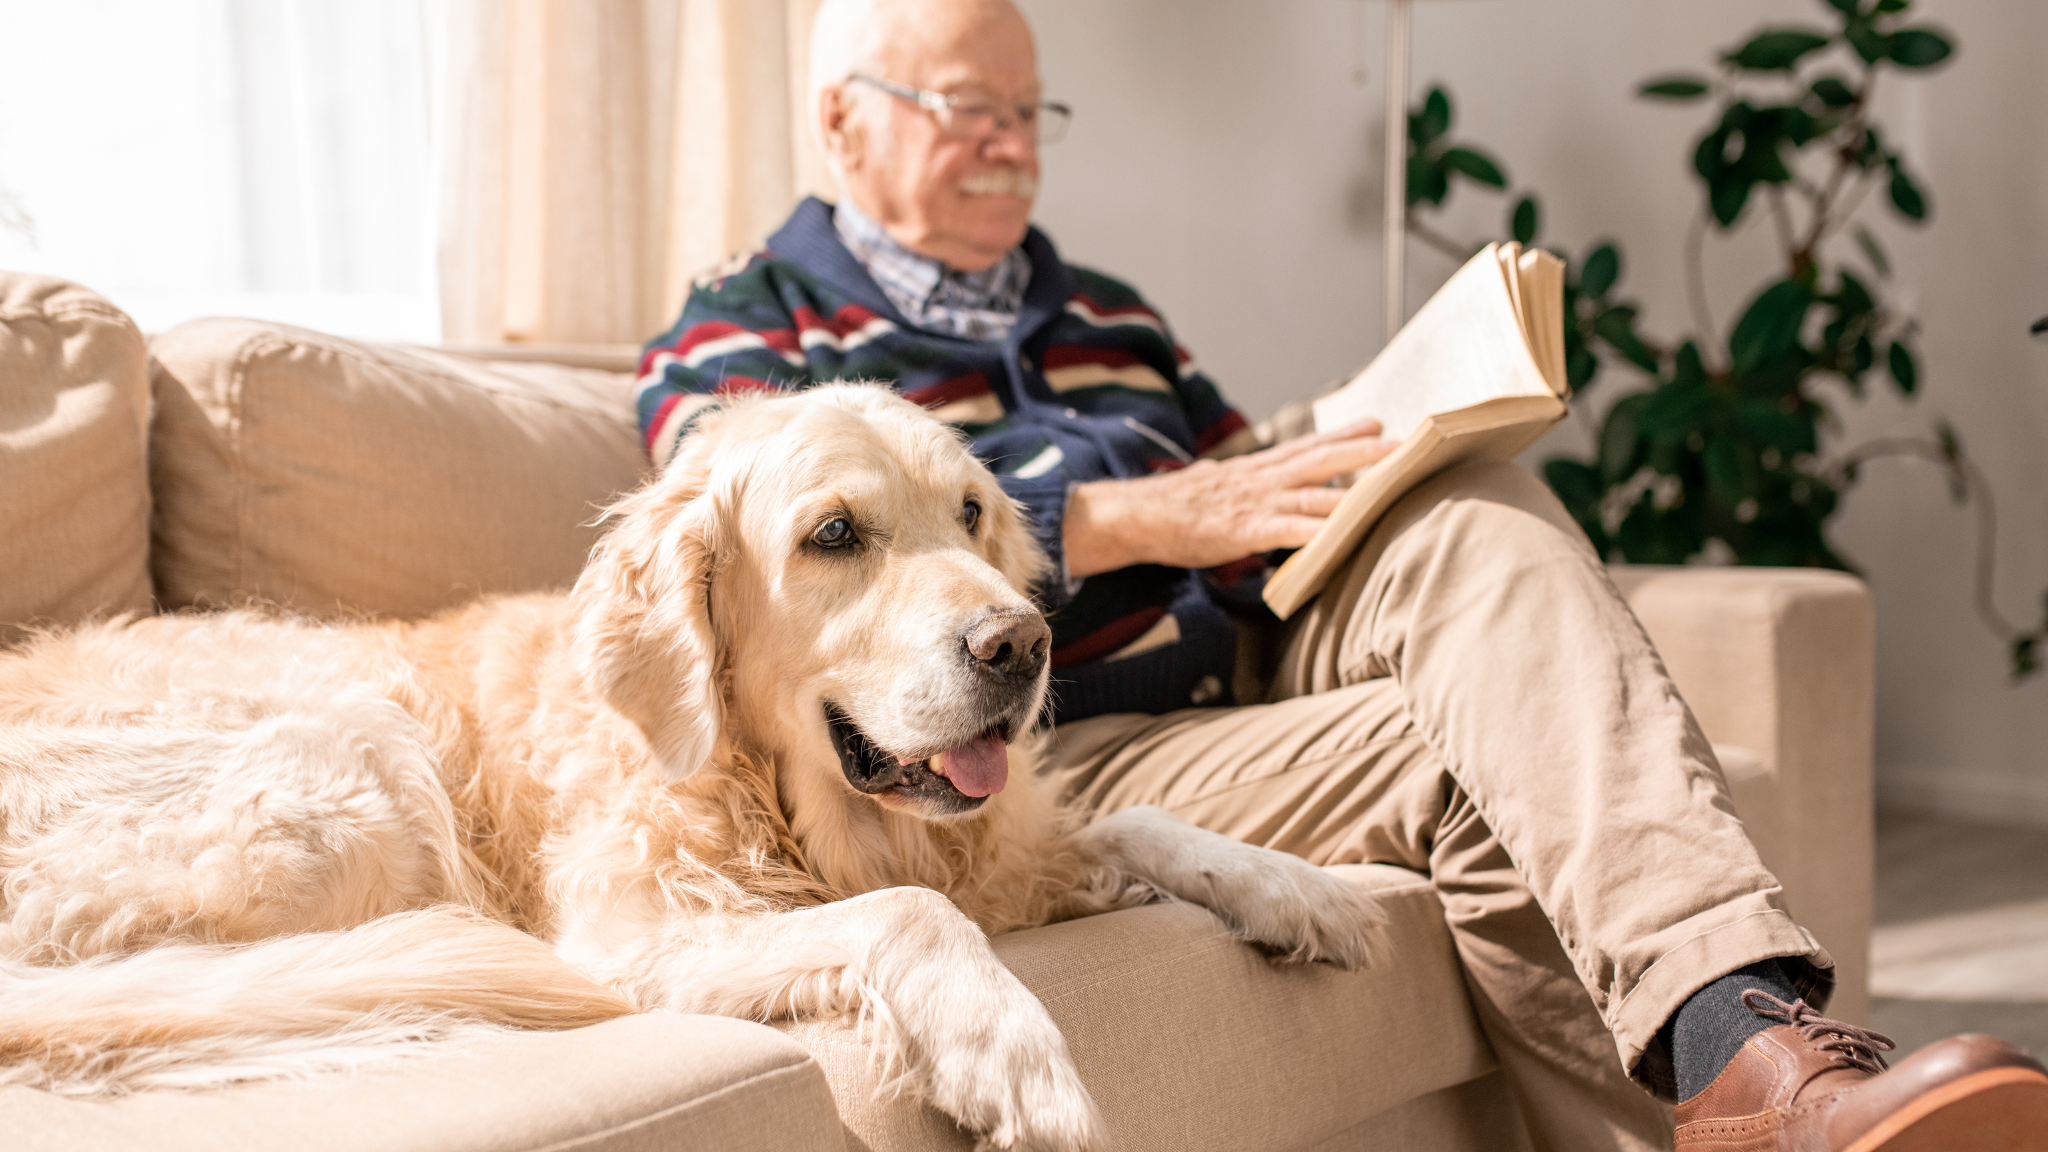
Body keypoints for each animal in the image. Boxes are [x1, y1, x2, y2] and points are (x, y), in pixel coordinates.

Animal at [0, 383, 1384, 1139]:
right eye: (835, 535)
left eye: (972, 515)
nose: (1022, 643)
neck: (770, 793)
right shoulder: (640, 938)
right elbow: (913, 913)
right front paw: (1014, 1054)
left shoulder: (1004, 850)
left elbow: (1132, 818)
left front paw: (1300, 887)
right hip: (354, 756)